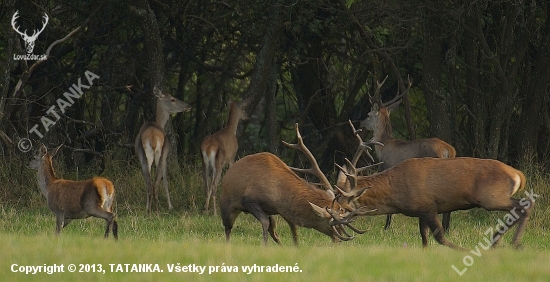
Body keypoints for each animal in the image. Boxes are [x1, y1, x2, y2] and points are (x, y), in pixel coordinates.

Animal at [135, 85, 193, 213]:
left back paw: (148, 209)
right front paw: (170, 206)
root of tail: (152, 137)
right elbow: (165, 178)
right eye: (172, 99)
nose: (188, 106)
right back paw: (157, 210)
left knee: (148, 181)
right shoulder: (166, 154)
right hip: (160, 152)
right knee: (157, 180)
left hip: (143, 154)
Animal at [220, 123, 370, 245]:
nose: (338, 239)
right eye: (332, 224)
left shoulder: (283, 210)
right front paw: (264, 246)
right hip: (227, 204)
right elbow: (265, 223)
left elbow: (293, 231)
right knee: (228, 228)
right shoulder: (250, 200)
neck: (278, 193)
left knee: (273, 231)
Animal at [326, 125, 536, 249]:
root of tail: (518, 174)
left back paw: (512, 243)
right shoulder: (420, 210)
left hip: (492, 196)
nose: (331, 221)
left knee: (524, 205)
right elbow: (424, 238)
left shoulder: (428, 205)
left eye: (342, 205)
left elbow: (439, 237)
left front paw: (464, 250)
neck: (397, 191)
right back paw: (497, 241)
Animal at [362, 75, 458, 231]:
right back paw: (446, 228)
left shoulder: (386, 168)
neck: (383, 146)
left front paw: (386, 226)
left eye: (368, 114)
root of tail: (449, 151)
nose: (361, 123)